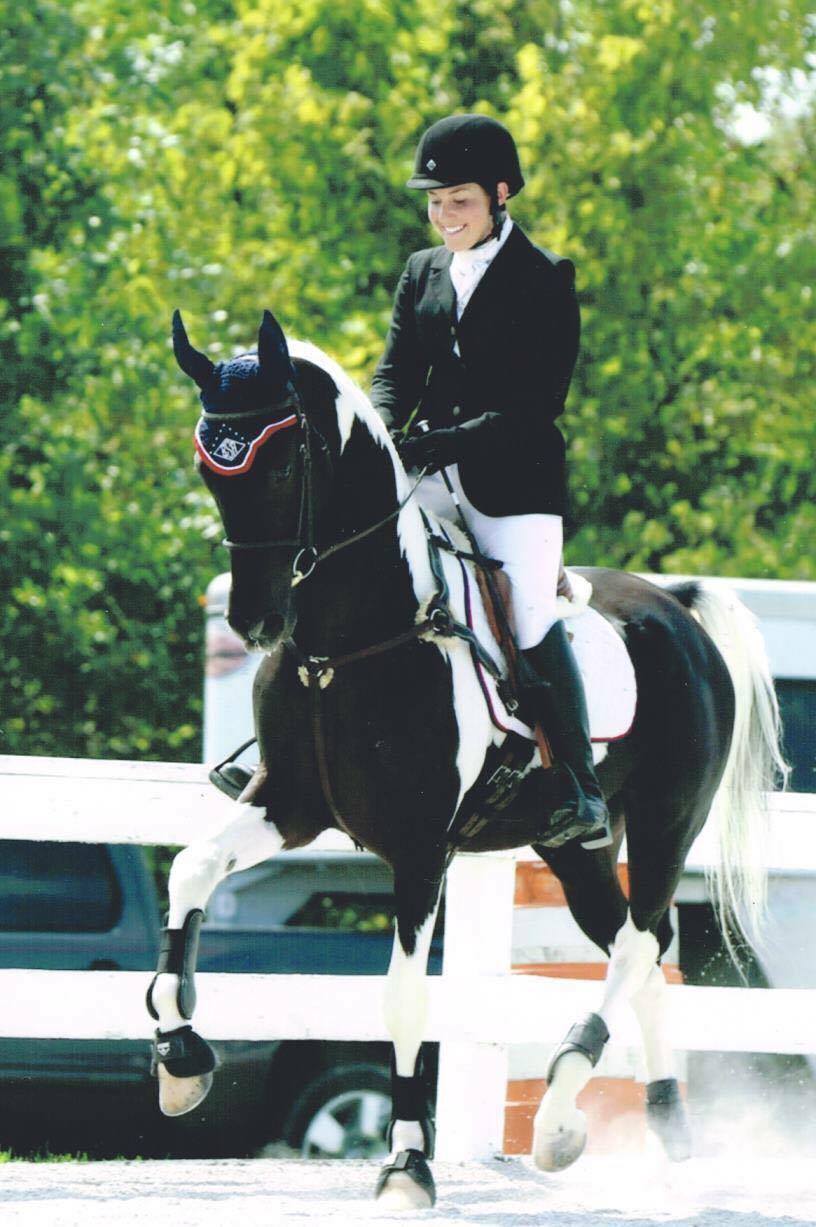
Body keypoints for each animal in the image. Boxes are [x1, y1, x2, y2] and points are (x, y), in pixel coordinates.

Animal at [149, 306, 785, 1207]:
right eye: (210, 467)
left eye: (284, 464)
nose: (254, 622)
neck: (348, 638)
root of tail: (674, 605)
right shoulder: (288, 804)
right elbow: (191, 870)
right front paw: (180, 1059)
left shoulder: (421, 847)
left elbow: (405, 999)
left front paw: (406, 1163)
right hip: (574, 845)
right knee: (640, 947)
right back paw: (661, 1126)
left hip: (669, 820)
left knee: (639, 942)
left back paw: (558, 1109)